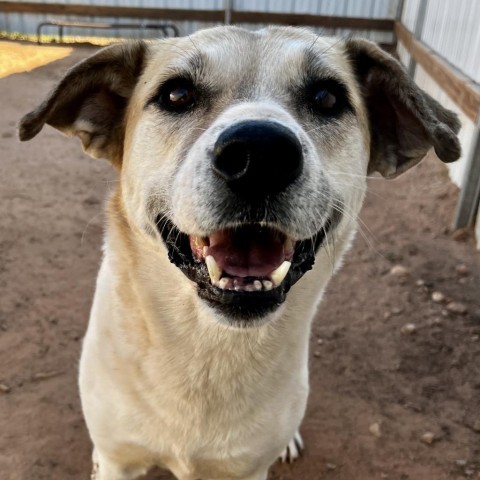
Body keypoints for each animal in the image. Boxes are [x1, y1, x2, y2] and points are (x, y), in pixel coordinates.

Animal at [18, 27, 462, 480]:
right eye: (177, 94)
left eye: (327, 98)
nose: (260, 154)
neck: (210, 346)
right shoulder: (120, 460)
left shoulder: (246, 468)